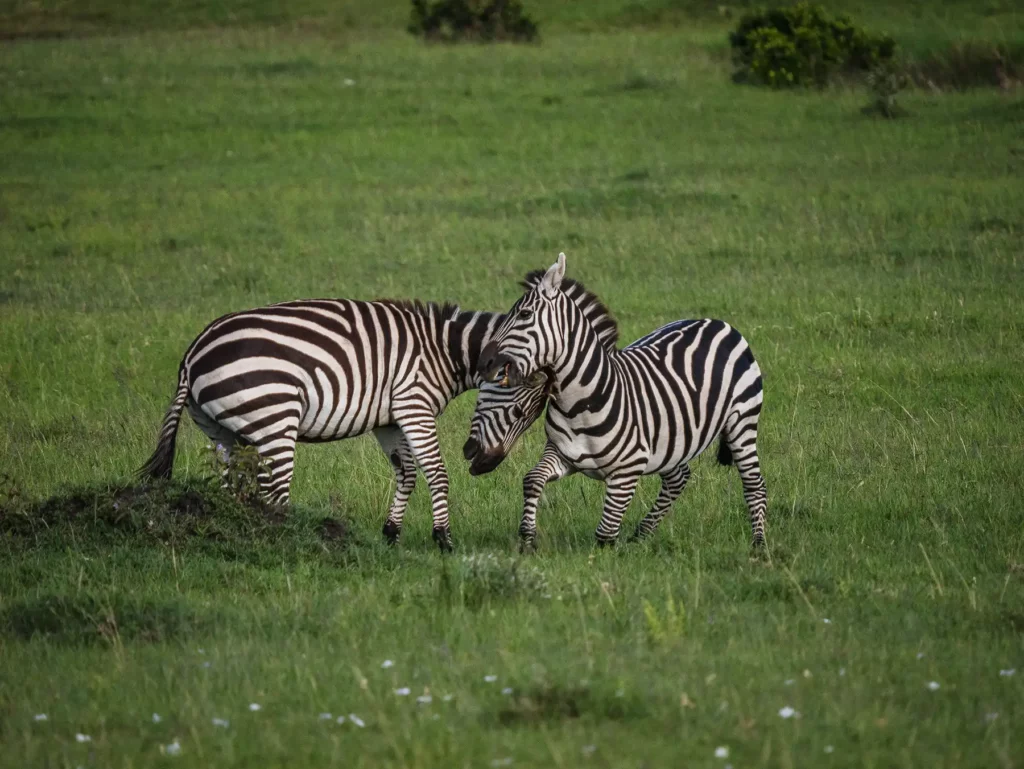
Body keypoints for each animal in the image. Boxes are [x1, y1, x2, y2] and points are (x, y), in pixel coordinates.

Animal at [139, 282, 615, 551]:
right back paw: (285, 544)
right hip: (273, 418)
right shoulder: (414, 404)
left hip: (222, 431)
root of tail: (193, 354)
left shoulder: (389, 418)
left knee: (232, 488)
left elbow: (407, 473)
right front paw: (444, 539)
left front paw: (391, 533)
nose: (484, 465)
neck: (443, 350)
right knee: (273, 491)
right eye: (519, 411)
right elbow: (436, 473)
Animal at [475, 253, 767, 550]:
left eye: (524, 314)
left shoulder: (627, 472)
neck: (580, 406)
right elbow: (532, 479)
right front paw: (528, 536)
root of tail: (718, 322)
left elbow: (604, 536)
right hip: (671, 440)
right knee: (678, 478)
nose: (483, 361)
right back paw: (641, 535)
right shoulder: (562, 453)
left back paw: (758, 543)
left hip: (742, 423)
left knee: (754, 485)